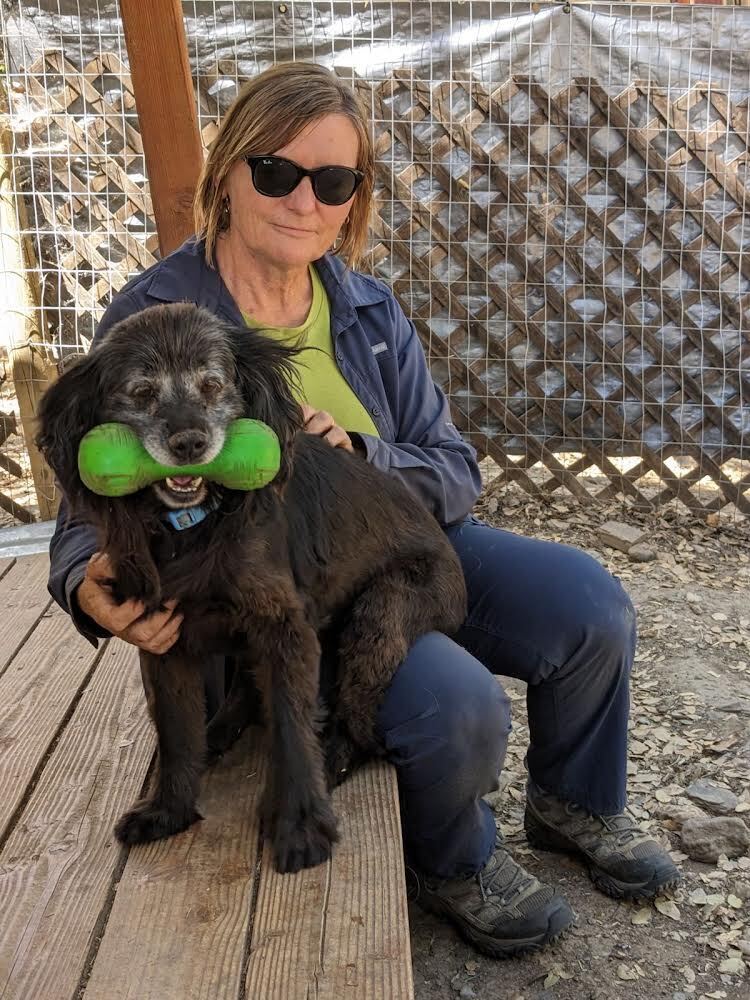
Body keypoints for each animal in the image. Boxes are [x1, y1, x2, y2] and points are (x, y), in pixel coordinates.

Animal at [38, 302, 470, 868]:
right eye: (142, 392)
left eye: (212, 384)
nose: (190, 443)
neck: (193, 527)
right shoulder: (164, 635)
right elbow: (175, 731)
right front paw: (169, 810)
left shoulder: (286, 629)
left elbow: (289, 727)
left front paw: (300, 826)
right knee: (245, 686)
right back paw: (219, 731)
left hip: (379, 615)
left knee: (359, 720)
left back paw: (333, 757)